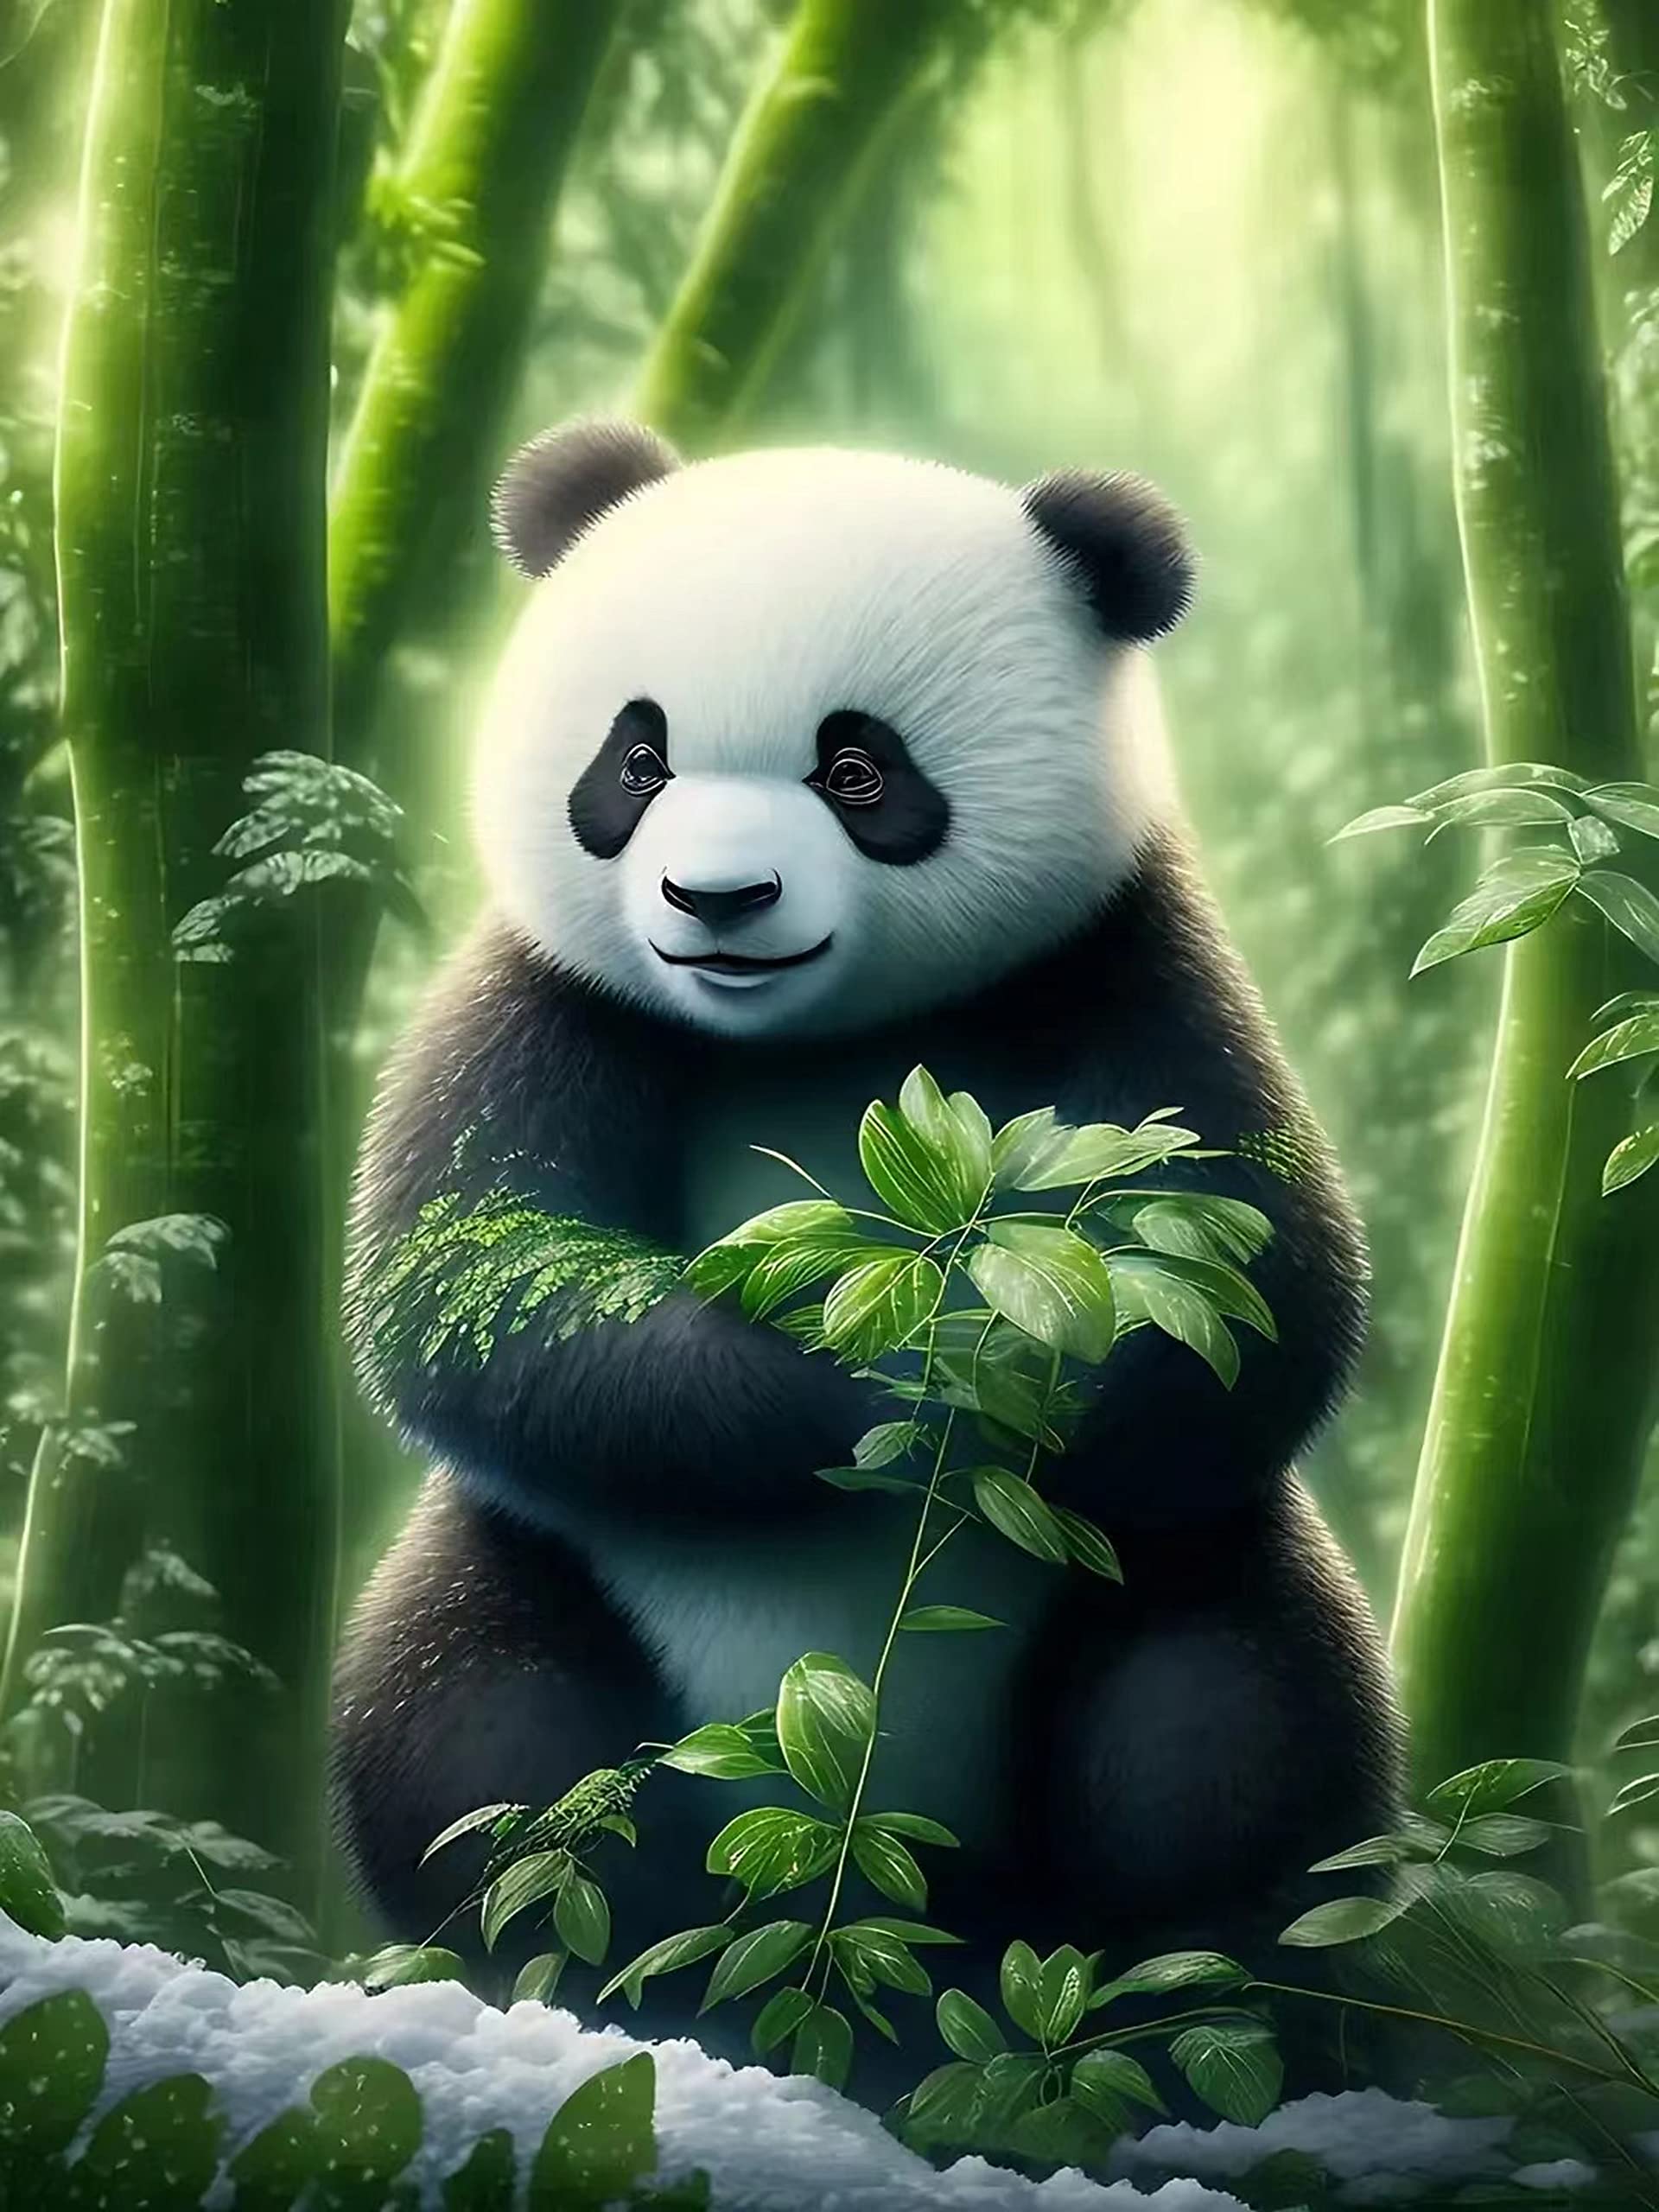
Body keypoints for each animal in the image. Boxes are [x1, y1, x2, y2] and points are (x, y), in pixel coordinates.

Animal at [333, 421, 1402, 2063]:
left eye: (857, 770)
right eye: (635, 762)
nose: (717, 899)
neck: (814, 1041)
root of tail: (866, 1907)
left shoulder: (1122, 957)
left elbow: (1251, 1268)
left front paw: (989, 1383)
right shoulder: (548, 997)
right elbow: (476, 1277)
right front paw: (866, 1394)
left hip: (1143, 1607)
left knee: (1230, 1730)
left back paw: (1186, 2008)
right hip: (542, 1587)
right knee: (486, 1748)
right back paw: (625, 1987)